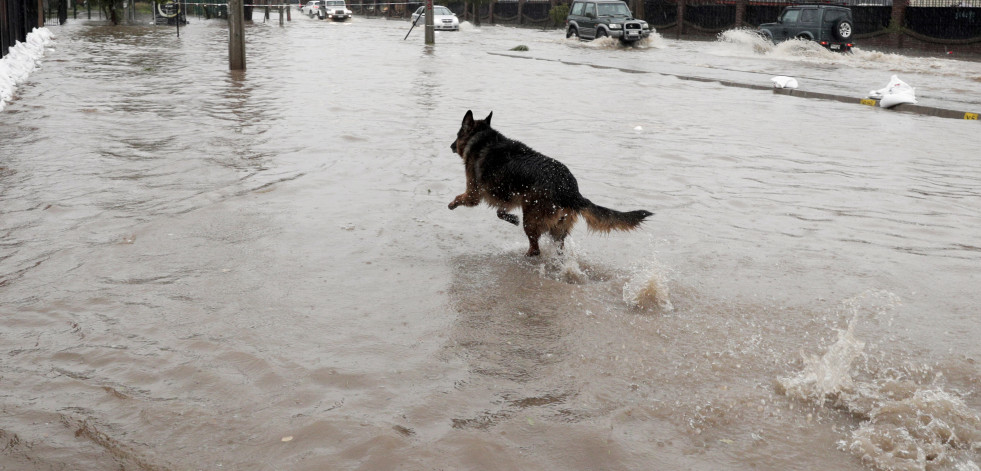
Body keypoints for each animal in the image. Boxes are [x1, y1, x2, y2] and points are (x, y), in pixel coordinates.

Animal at [450, 110, 652, 258]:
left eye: (458, 134)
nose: (451, 146)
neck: (482, 138)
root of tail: (571, 190)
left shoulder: (474, 193)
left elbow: (461, 198)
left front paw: (451, 204)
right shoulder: (510, 197)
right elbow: (501, 212)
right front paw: (511, 218)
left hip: (531, 219)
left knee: (535, 249)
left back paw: (525, 257)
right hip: (557, 227)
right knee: (558, 248)